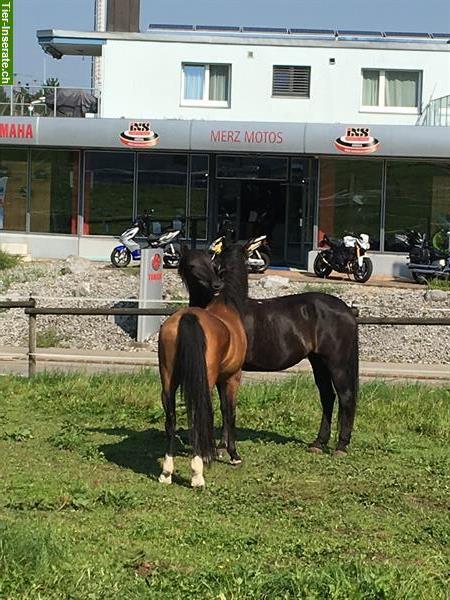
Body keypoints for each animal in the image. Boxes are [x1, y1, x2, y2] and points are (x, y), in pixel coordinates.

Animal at [157, 244, 250, 488]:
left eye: (212, 263)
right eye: (192, 266)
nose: (216, 285)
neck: (225, 306)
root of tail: (187, 318)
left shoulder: (220, 379)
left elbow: (223, 410)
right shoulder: (232, 378)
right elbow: (230, 412)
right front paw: (232, 454)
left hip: (167, 382)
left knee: (171, 420)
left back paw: (167, 472)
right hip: (202, 382)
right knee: (197, 415)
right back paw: (197, 474)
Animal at [179, 248, 358, 454]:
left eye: (213, 264)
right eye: (192, 265)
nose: (216, 285)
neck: (222, 314)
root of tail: (346, 310)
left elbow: (227, 407)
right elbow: (225, 407)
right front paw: (223, 446)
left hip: (337, 363)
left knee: (346, 398)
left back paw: (341, 446)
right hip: (318, 362)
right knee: (328, 397)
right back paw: (318, 443)